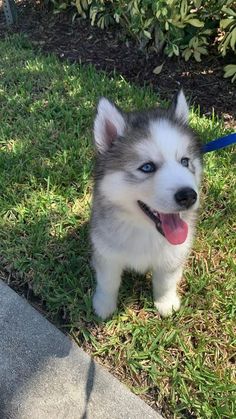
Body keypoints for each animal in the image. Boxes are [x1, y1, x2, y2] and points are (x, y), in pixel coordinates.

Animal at [89, 92, 202, 320]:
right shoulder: (107, 253)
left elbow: (165, 282)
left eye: (185, 161)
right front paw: (104, 305)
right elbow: (108, 282)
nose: (188, 196)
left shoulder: (173, 255)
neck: (145, 231)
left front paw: (165, 303)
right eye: (147, 167)